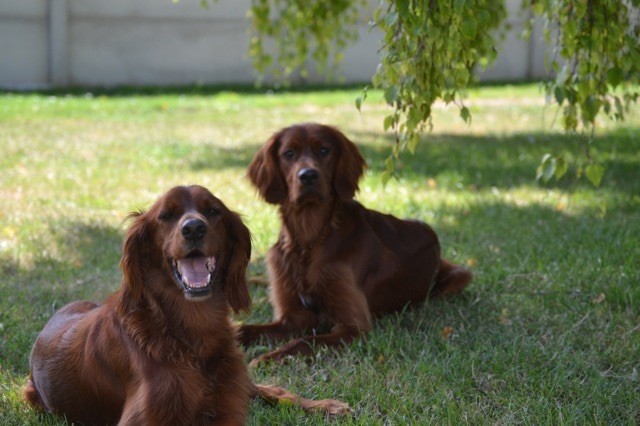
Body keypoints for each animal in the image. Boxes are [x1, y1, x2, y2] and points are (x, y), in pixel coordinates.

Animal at [23, 186, 350, 426]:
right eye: (166, 215)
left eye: (213, 211)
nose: (193, 228)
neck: (194, 329)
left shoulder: (227, 402)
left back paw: (326, 406)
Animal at [238, 124, 472, 366]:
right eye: (289, 153)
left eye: (324, 150)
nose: (308, 176)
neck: (309, 239)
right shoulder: (293, 318)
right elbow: (243, 329)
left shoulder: (353, 327)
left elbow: (303, 341)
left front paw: (265, 359)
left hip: (460, 276)